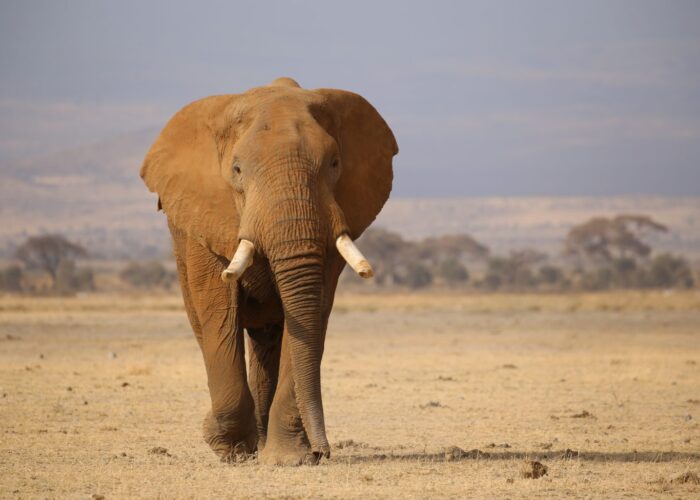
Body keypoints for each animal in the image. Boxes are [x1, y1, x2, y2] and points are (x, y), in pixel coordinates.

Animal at [140, 77, 397, 465]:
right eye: (237, 170)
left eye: (334, 163)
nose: (324, 451)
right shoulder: (204, 217)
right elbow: (219, 309)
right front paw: (229, 449)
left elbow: (310, 314)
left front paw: (289, 458)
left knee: (267, 341)